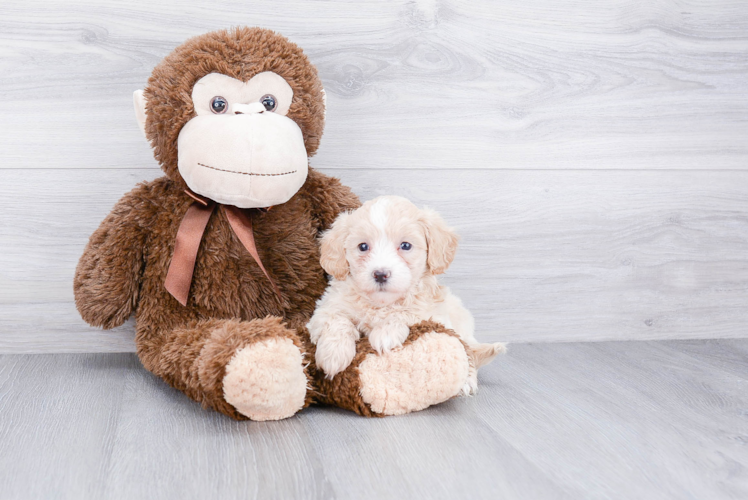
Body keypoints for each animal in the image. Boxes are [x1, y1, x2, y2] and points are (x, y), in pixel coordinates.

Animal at [306, 195, 506, 394]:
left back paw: (467, 381)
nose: (380, 274)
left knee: (468, 351)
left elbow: (408, 311)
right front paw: (333, 354)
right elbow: (337, 319)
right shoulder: (325, 308)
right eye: (363, 246)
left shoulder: (434, 313)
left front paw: (385, 333)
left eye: (405, 246)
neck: (381, 304)